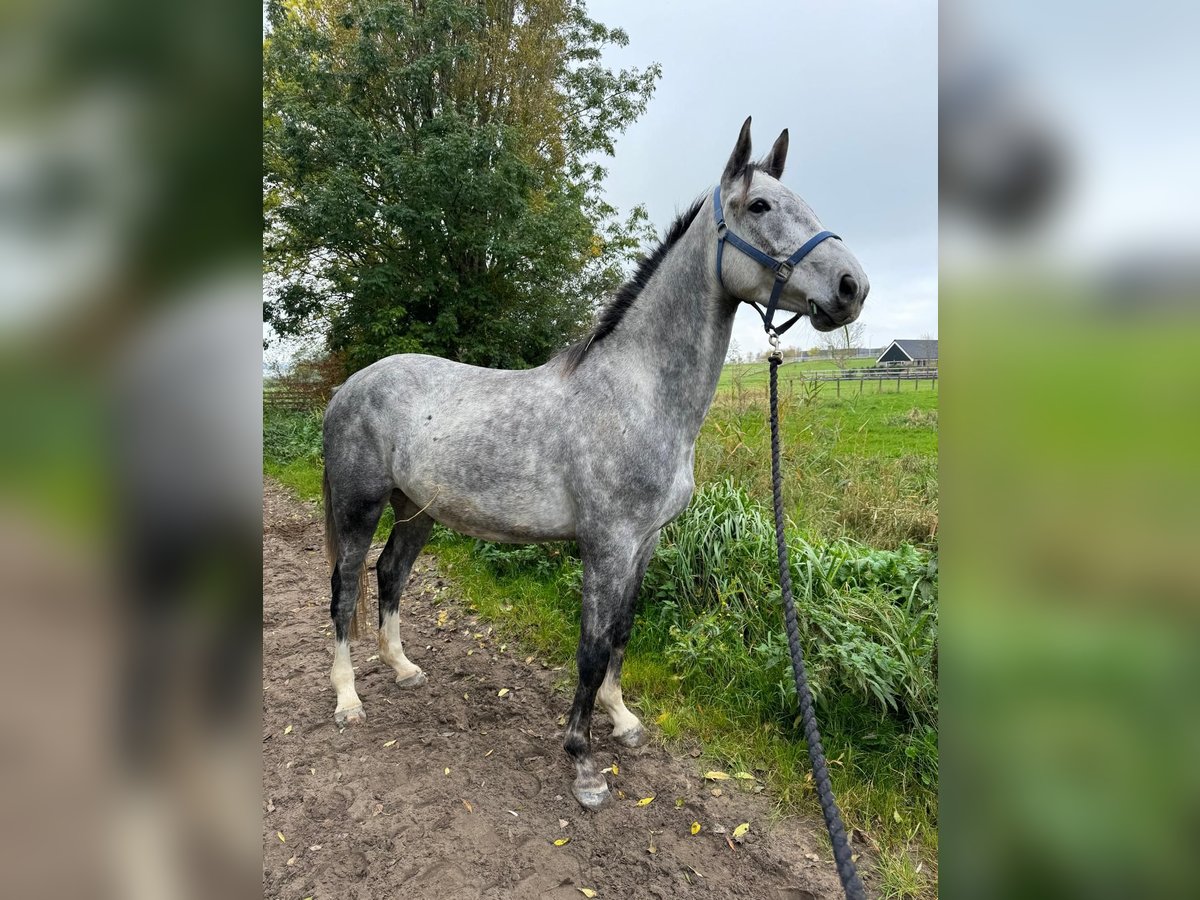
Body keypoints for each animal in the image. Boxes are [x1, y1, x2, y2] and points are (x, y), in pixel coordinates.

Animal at [319, 118, 864, 811]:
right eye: (761, 206)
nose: (852, 287)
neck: (636, 393)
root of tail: (349, 387)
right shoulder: (606, 543)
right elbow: (590, 647)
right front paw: (582, 762)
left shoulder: (644, 543)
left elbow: (623, 634)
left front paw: (621, 718)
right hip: (358, 507)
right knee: (344, 590)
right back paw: (347, 699)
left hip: (418, 509)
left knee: (390, 575)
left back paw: (403, 668)